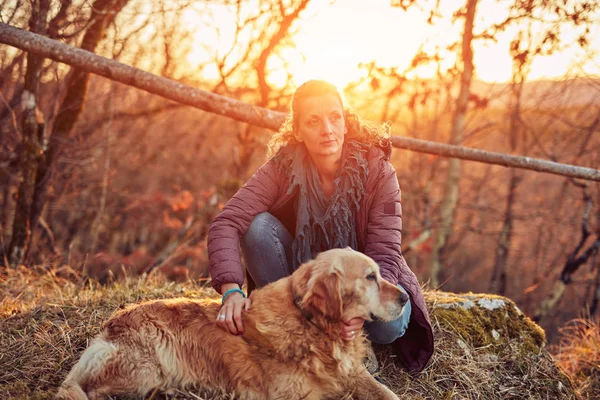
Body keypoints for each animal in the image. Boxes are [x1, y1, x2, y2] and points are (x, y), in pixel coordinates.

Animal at [56, 248, 408, 398]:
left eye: (379, 273)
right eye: (370, 277)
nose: (406, 297)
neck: (315, 328)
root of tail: (110, 324)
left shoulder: (354, 374)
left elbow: (388, 394)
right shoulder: (291, 395)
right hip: (144, 368)